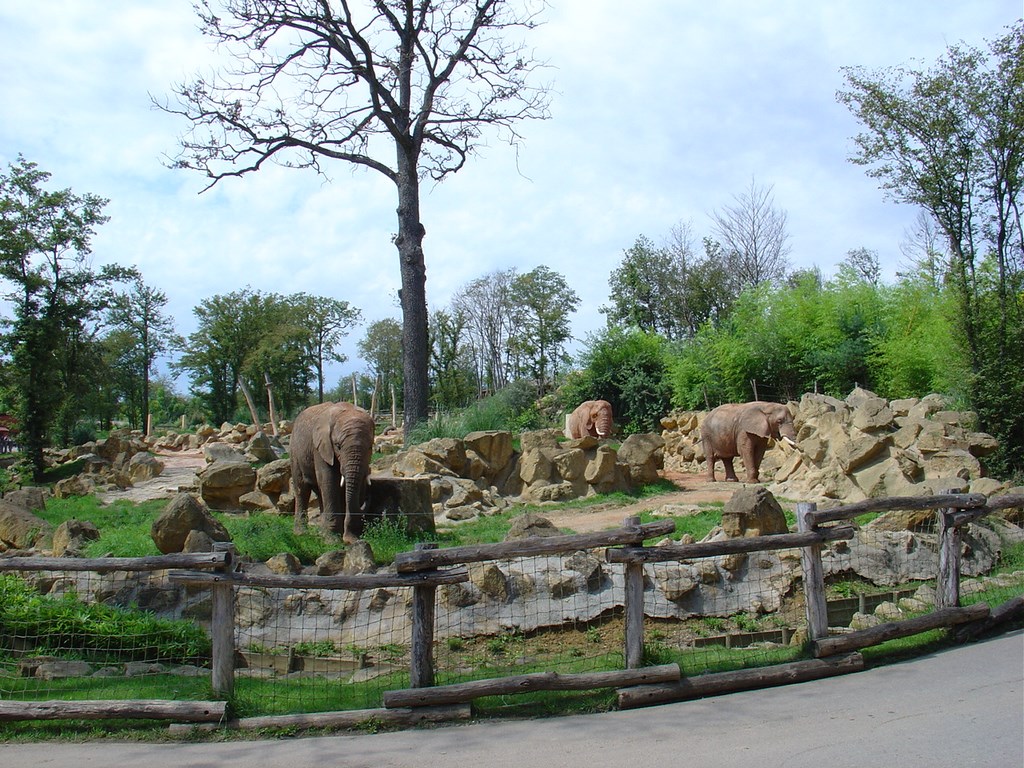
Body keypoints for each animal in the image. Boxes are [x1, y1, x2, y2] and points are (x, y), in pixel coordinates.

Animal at [290, 401, 375, 543]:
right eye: (338, 446)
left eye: (370, 447)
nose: (368, 498)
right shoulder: (321, 447)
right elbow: (329, 480)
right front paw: (332, 541)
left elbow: (359, 482)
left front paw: (352, 539)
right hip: (295, 451)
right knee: (302, 489)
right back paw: (301, 534)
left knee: (320, 492)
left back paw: (321, 533)